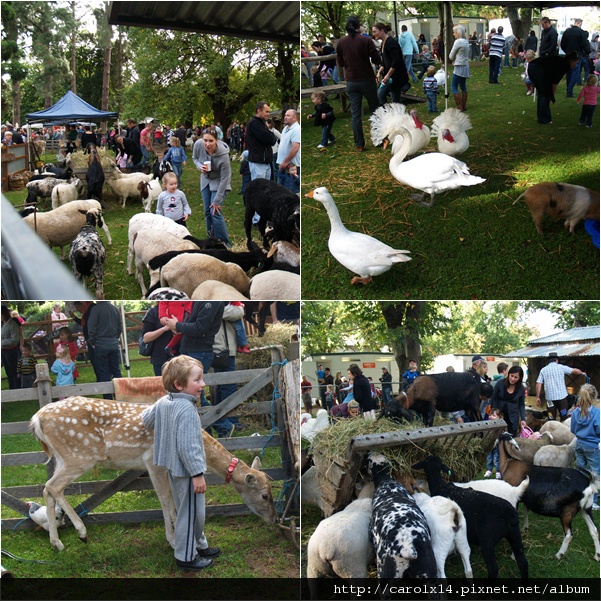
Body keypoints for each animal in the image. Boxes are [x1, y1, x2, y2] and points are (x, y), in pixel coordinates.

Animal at [29, 396, 278, 552]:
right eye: (265, 495)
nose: (275, 519)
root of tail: (37, 419)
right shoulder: (153, 462)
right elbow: (165, 499)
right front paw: (172, 539)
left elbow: (174, 500)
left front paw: (178, 530)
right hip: (80, 455)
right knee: (54, 486)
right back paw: (81, 532)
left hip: (62, 457)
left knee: (47, 488)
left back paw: (57, 543)